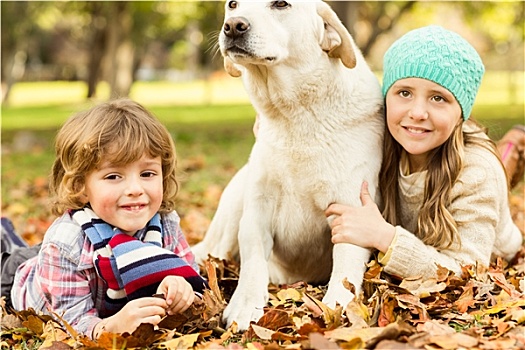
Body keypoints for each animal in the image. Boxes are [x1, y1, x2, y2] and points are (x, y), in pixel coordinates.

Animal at [192, 0, 384, 330]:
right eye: (232, 5)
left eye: (281, 3)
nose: (233, 26)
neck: (295, 116)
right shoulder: (258, 204)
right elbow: (253, 256)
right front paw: (245, 304)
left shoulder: (352, 206)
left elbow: (345, 264)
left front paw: (338, 306)